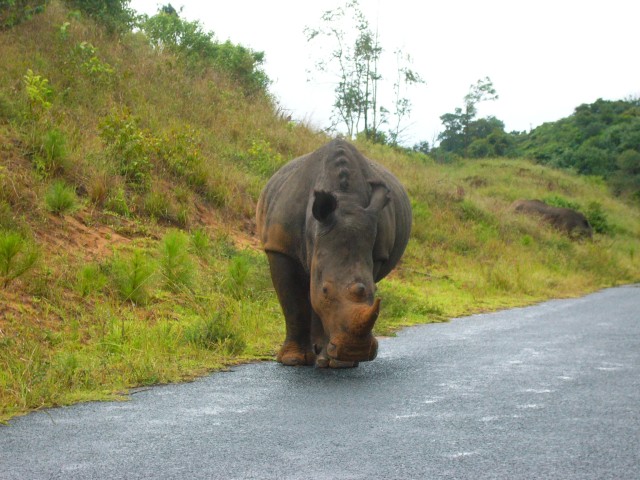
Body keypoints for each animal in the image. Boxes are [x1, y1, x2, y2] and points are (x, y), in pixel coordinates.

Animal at [258, 138, 412, 368]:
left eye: (375, 291)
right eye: (325, 290)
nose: (356, 351)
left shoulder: (376, 253)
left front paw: (339, 363)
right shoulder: (280, 248)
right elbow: (293, 304)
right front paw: (293, 360)